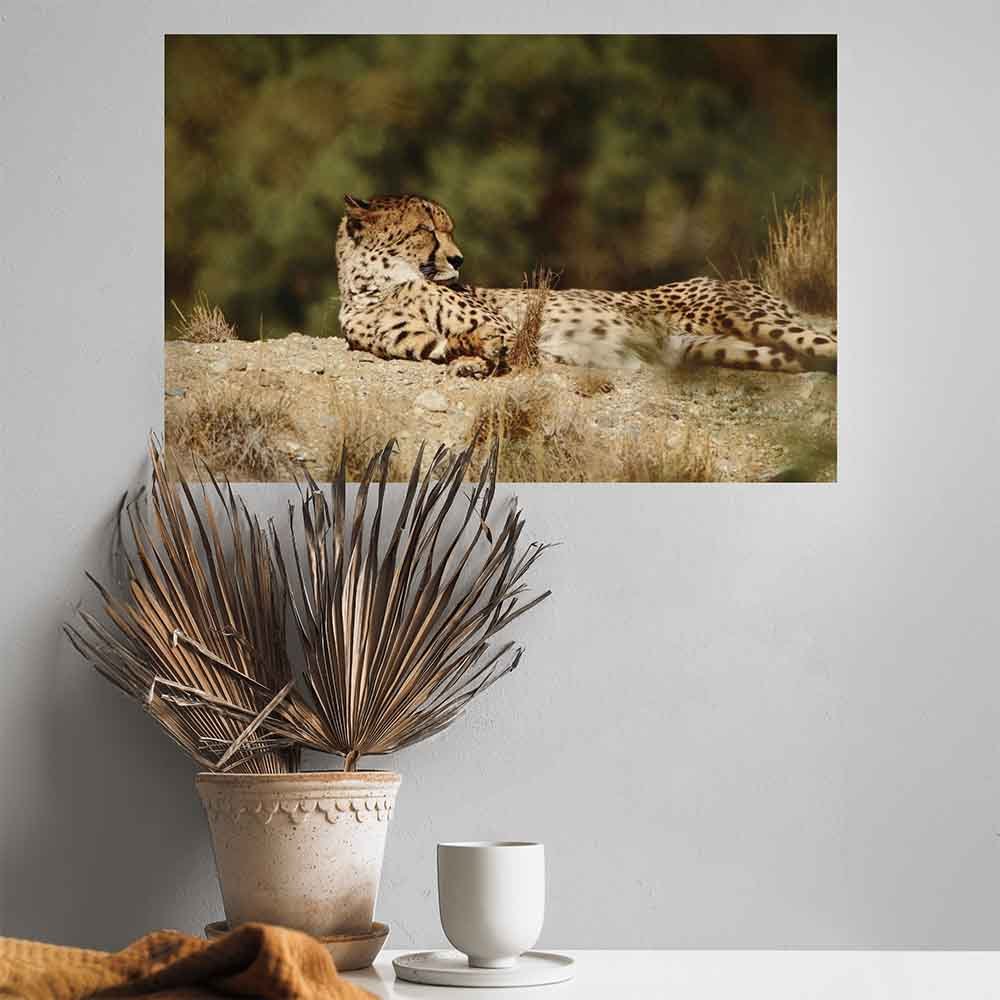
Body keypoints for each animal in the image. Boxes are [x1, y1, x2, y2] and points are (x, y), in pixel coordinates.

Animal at [335, 193, 837, 377]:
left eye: (449, 230)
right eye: (426, 230)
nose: (458, 259)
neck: (378, 284)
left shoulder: (507, 326)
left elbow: (495, 338)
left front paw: (481, 359)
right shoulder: (417, 341)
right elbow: (450, 343)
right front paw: (469, 360)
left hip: (750, 319)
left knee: (824, 341)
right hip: (724, 349)